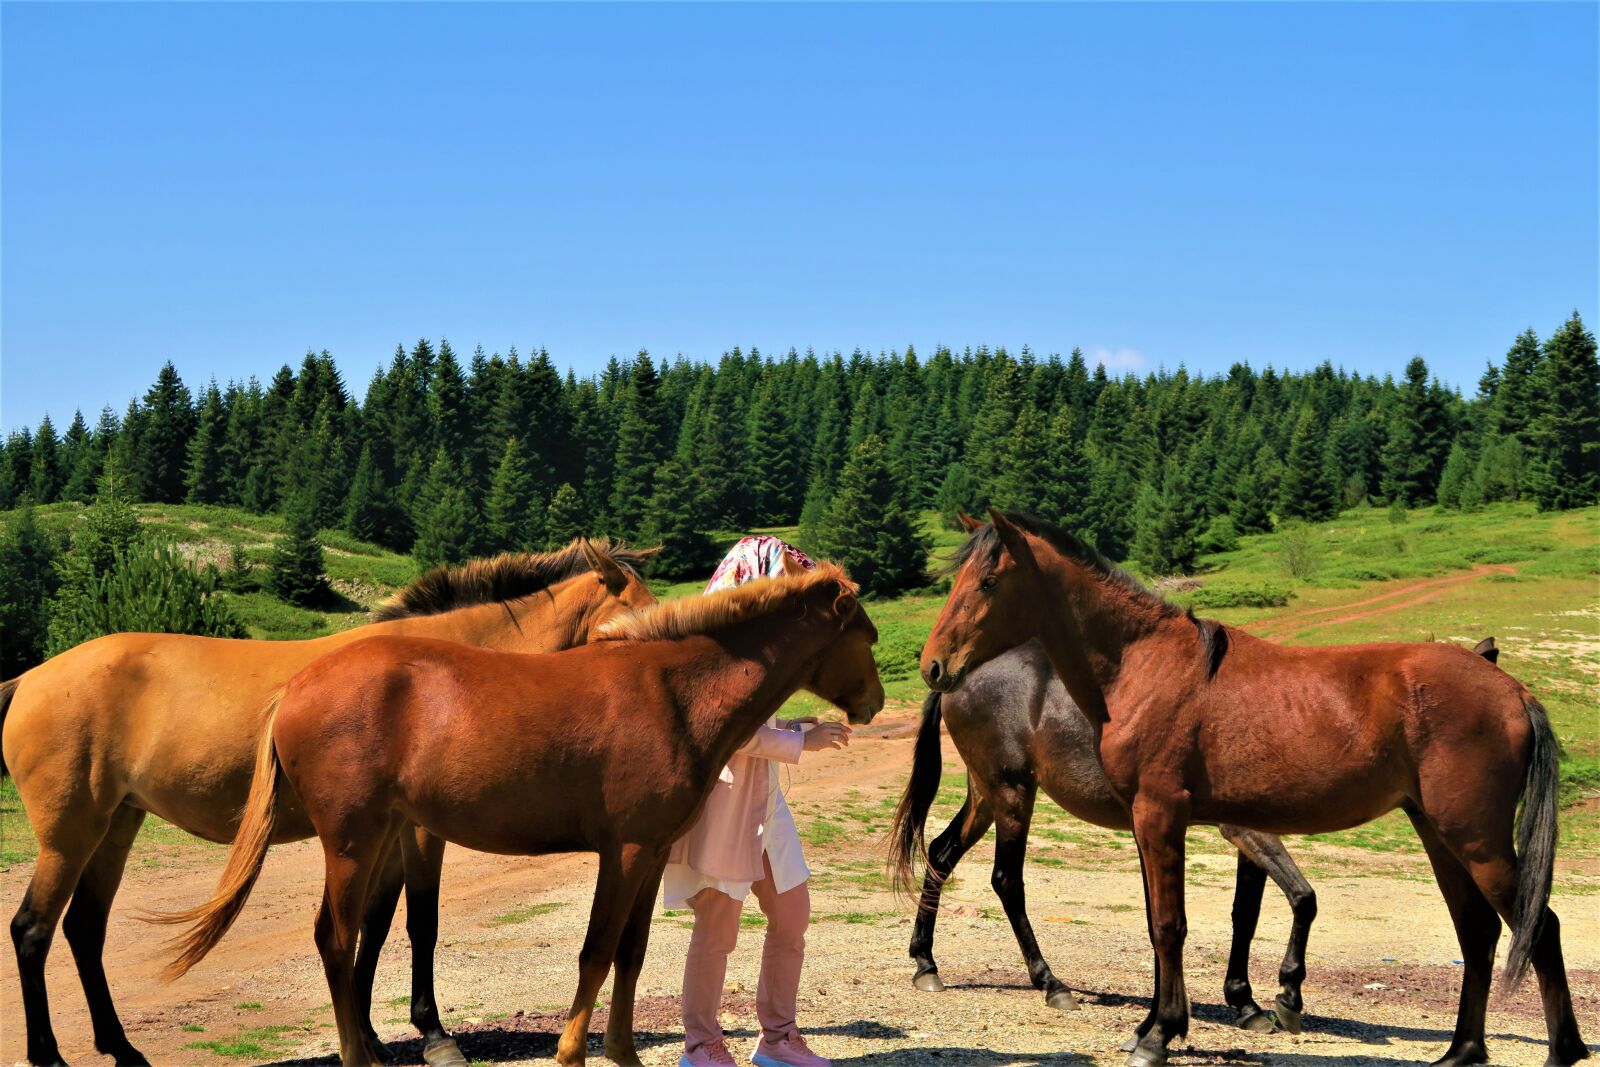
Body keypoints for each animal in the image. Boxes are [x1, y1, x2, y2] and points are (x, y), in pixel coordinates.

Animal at [1, 538, 656, 1067]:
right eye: (629, 619)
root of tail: (29, 678)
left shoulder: (385, 835)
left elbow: (372, 924)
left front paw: (368, 1034)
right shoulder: (420, 833)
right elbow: (420, 922)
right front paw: (432, 1035)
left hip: (117, 824)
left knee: (84, 929)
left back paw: (123, 1049)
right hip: (70, 833)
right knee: (32, 929)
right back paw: (50, 1054)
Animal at [163, 562, 884, 1067]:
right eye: (868, 636)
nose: (876, 702)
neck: (673, 690)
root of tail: (296, 686)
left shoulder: (652, 852)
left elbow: (632, 953)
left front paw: (622, 1051)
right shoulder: (623, 852)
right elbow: (596, 951)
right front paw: (571, 1051)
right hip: (350, 841)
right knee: (336, 940)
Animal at [891, 639, 1319, 1031]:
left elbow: (1245, 913)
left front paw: (1245, 1002)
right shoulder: (1243, 830)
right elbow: (1303, 898)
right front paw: (1286, 995)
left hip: (985, 795)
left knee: (941, 853)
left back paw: (926, 964)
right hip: (1012, 794)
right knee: (1007, 880)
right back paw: (1050, 983)